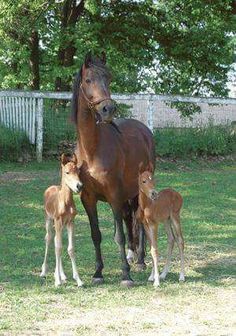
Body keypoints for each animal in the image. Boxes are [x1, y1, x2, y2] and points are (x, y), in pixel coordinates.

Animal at [40, 154, 84, 288]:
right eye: (67, 172)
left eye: (78, 171)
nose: (79, 186)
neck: (66, 202)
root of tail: (50, 188)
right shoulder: (58, 221)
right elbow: (58, 248)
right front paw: (57, 281)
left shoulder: (70, 223)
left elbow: (70, 248)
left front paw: (78, 280)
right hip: (49, 220)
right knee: (49, 239)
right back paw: (44, 272)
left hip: (60, 225)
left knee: (55, 240)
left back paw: (62, 275)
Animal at [73, 52, 156, 286]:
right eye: (88, 80)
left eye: (108, 79)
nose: (107, 109)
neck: (92, 149)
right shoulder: (88, 198)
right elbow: (96, 234)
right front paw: (98, 272)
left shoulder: (114, 195)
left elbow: (118, 235)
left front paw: (125, 275)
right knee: (130, 219)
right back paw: (132, 254)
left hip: (139, 191)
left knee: (139, 220)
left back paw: (140, 261)